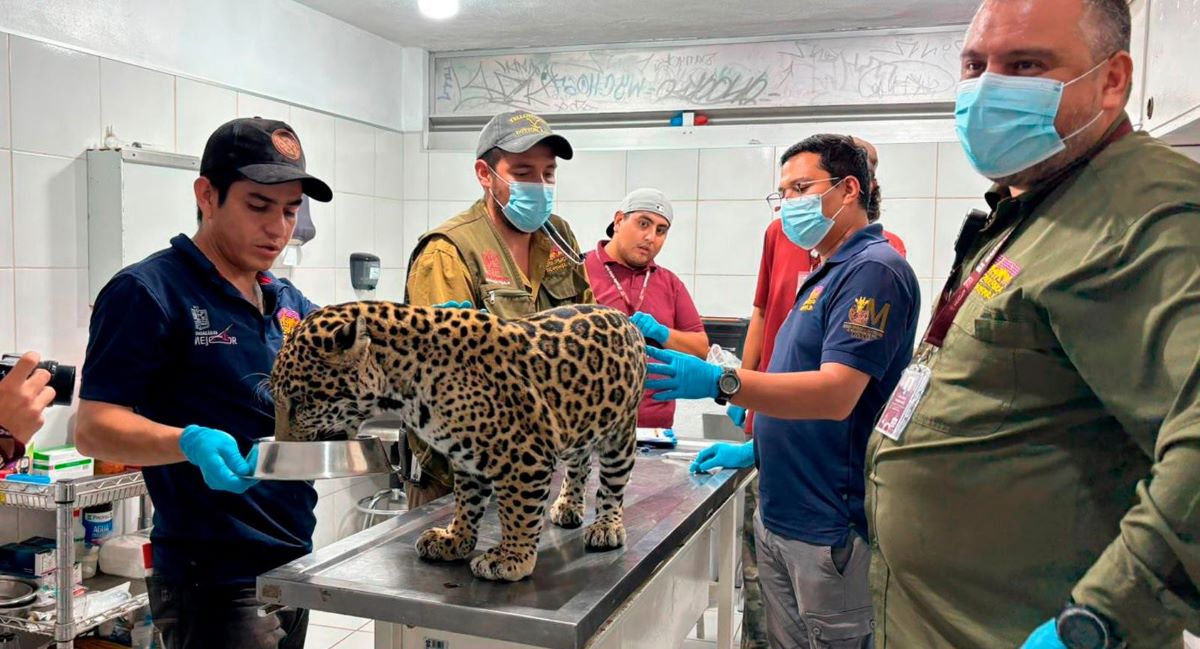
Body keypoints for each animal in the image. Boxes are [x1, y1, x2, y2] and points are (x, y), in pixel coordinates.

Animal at [269, 301, 647, 582]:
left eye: (299, 403)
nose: (285, 443)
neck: (404, 387)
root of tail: (623, 317)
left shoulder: (524, 457)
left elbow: (518, 511)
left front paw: (511, 558)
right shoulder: (467, 459)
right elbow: (467, 503)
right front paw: (456, 540)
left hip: (620, 433)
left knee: (612, 484)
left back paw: (606, 526)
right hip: (577, 422)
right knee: (580, 465)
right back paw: (568, 505)